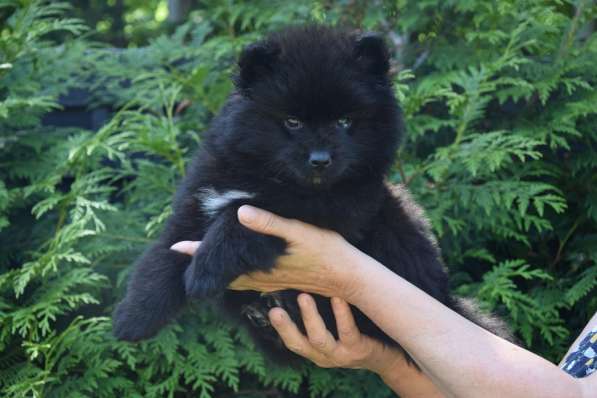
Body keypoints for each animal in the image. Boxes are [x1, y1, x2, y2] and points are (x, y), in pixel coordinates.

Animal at [113, 24, 512, 360]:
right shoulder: (198, 201)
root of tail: (444, 298)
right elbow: (160, 258)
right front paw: (133, 317)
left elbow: (241, 217)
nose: (320, 159)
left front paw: (205, 270)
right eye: (292, 122)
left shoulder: (328, 208)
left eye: (345, 121)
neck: (264, 176)